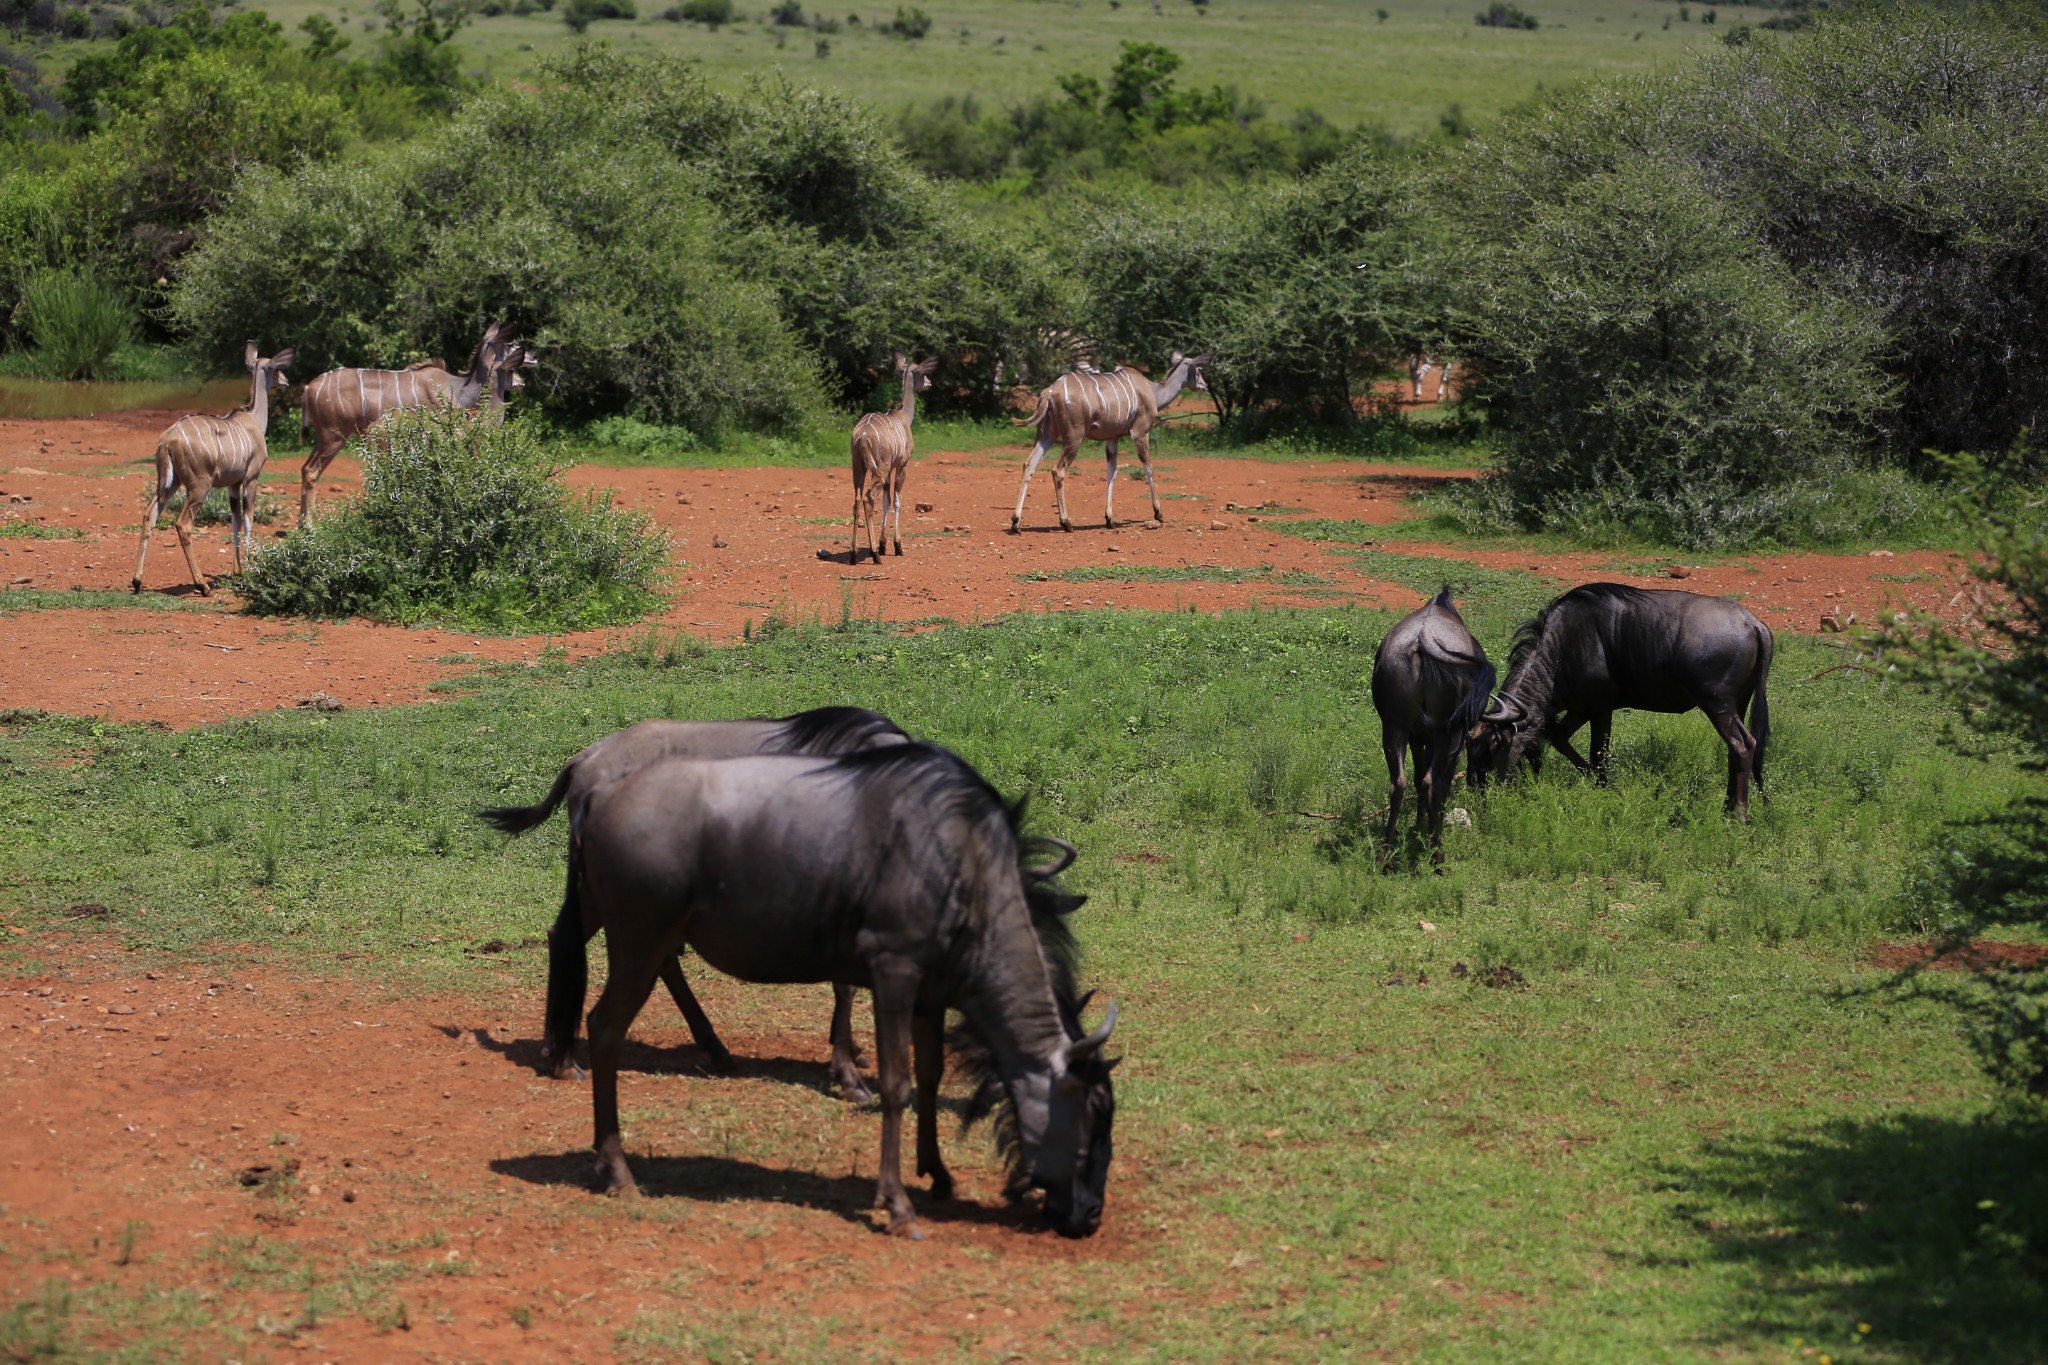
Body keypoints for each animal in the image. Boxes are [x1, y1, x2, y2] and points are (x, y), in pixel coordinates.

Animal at [130, 339, 294, 593]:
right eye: (276, 368)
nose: (286, 380)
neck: (254, 420)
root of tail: (167, 440)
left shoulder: (233, 484)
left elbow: (235, 520)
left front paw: (238, 570)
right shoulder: (251, 478)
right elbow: (249, 519)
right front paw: (251, 567)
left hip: (169, 483)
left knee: (150, 515)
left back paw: (137, 581)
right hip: (199, 486)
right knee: (183, 524)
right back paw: (202, 585)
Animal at [299, 325, 536, 527]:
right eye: (510, 344)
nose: (532, 359)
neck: (462, 389)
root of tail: (309, 388)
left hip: (326, 439)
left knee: (305, 468)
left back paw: (303, 525)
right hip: (335, 436)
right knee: (312, 471)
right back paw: (310, 526)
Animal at [847, 358, 937, 564]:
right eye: (922, 373)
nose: (929, 383)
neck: (903, 416)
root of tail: (862, 437)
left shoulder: (888, 470)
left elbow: (886, 500)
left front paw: (882, 545)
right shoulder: (902, 465)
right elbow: (896, 500)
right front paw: (897, 546)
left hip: (859, 467)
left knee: (857, 499)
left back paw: (854, 554)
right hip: (879, 468)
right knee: (869, 498)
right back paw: (874, 555)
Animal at [1011, 349, 1204, 532]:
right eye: (1199, 371)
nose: (1205, 385)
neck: (1153, 390)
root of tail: (1050, 392)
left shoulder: (1112, 438)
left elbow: (1112, 471)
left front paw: (1109, 519)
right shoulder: (1140, 433)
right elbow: (1148, 467)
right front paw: (1158, 513)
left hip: (1046, 435)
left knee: (1029, 464)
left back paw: (1016, 523)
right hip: (1074, 438)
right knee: (1057, 471)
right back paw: (1066, 523)